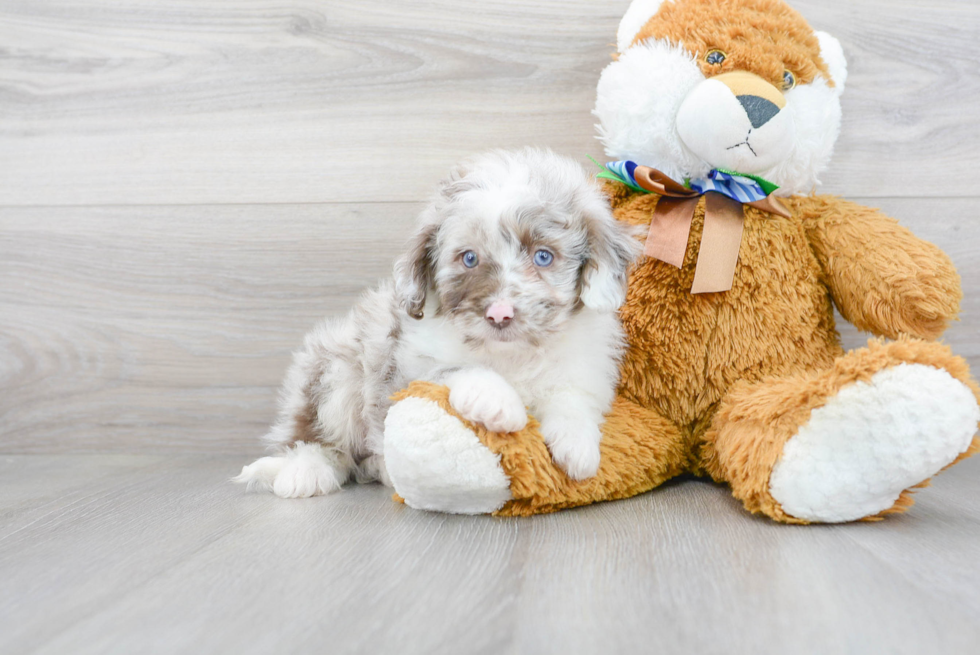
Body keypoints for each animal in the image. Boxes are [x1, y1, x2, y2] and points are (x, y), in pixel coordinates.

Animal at [234, 147, 640, 498]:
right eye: (470, 258)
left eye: (543, 256)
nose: (499, 313)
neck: (511, 354)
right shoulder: (403, 373)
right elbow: (456, 369)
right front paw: (497, 402)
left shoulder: (581, 370)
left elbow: (572, 399)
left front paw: (578, 448)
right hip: (335, 374)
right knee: (315, 440)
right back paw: (306, 471)